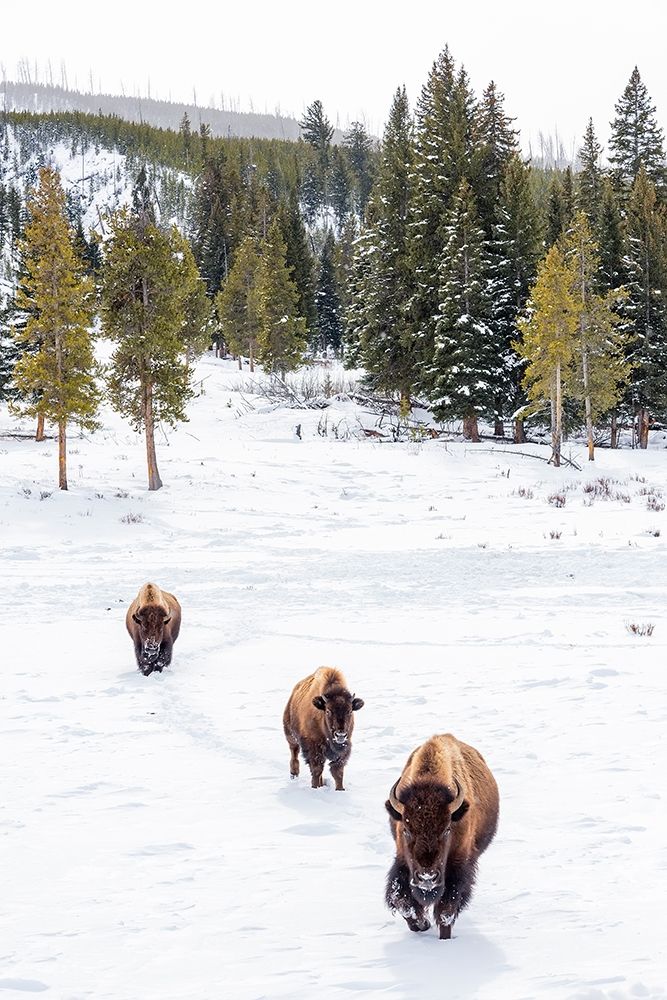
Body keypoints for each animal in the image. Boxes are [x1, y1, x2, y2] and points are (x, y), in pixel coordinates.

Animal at [385, 733, 499, 939]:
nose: (427, 877)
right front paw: (422, 924)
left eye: (447, 829)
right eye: (406, 829)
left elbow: (446, 910)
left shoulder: (459, 865)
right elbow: (403, 902)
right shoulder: (402, 860)